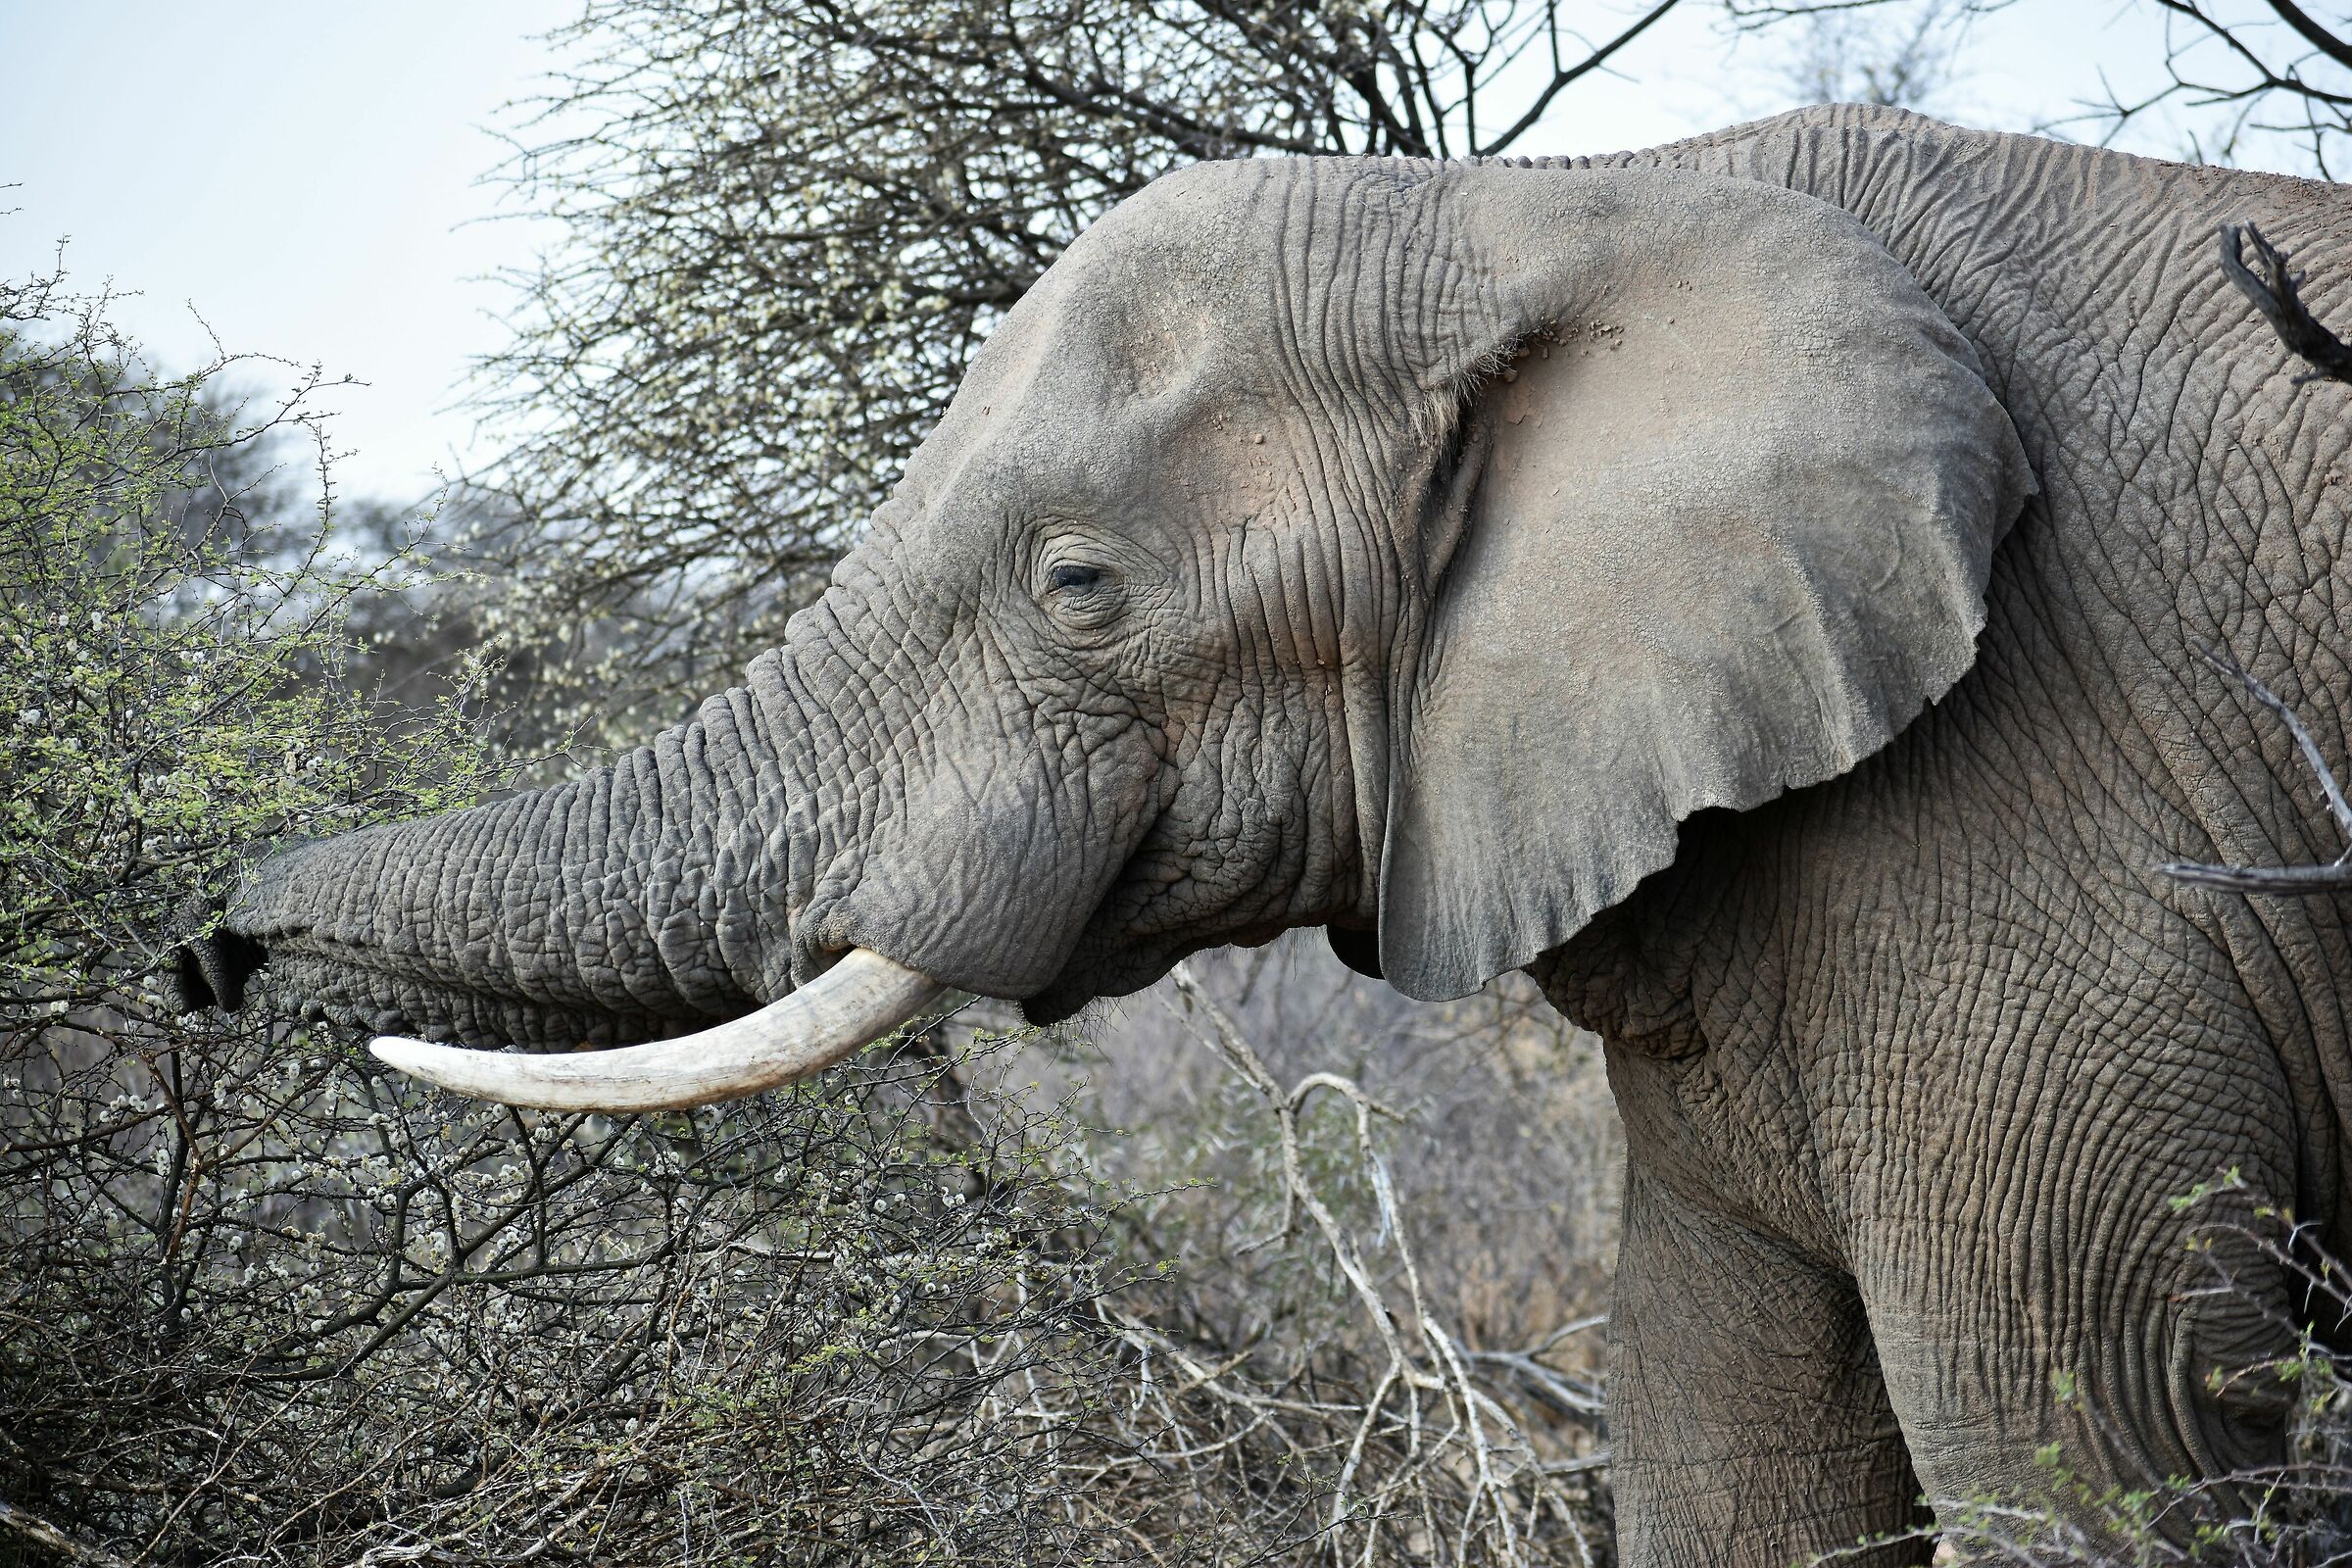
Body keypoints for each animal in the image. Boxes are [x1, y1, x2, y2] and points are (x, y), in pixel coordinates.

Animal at [171, 105, 2352, 1563]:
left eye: (1079, 587)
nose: (209, 952)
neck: (1557, 210)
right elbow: (1734, 1456)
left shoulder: (2043, 807)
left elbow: (2095, 1443)